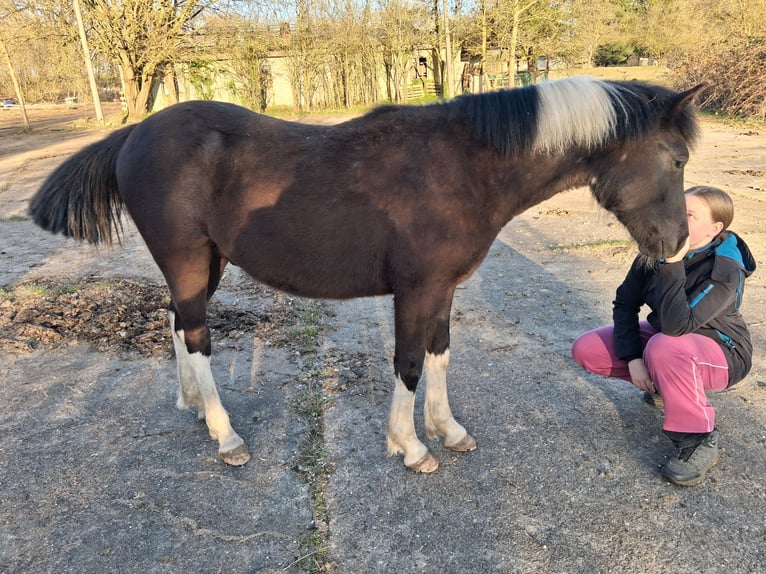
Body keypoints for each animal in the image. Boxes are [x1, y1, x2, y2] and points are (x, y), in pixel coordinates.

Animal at [29, 77, 703, 472]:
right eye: (675, 159)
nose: (676, 243)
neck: (466, 166)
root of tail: (135, 133)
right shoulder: (416, 289)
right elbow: (407, 363)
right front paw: (410, 446)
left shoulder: (443, 291)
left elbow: (439, 356)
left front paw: (447, 430)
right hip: (189, 260)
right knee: (195, 335)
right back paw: (225, 435)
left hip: (207, 263)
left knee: (176, 325)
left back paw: (192, 406)